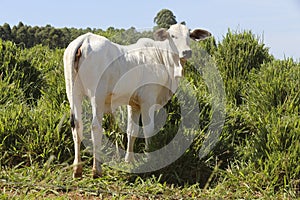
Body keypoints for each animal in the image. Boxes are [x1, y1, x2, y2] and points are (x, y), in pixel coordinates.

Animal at [63, 23, 211, 178]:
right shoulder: (148, 100)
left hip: (73, 93)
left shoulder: (134, 104)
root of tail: (84, 40)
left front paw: (129, 160)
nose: (186, 52)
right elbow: (148, 129)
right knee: (95, 127)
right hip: (97, 96)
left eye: (189, 36)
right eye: (172, 35)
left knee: (77, 126)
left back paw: (77, 169)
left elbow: (132, 130)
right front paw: (150, 158)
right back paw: (96, 169)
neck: (161, 57)